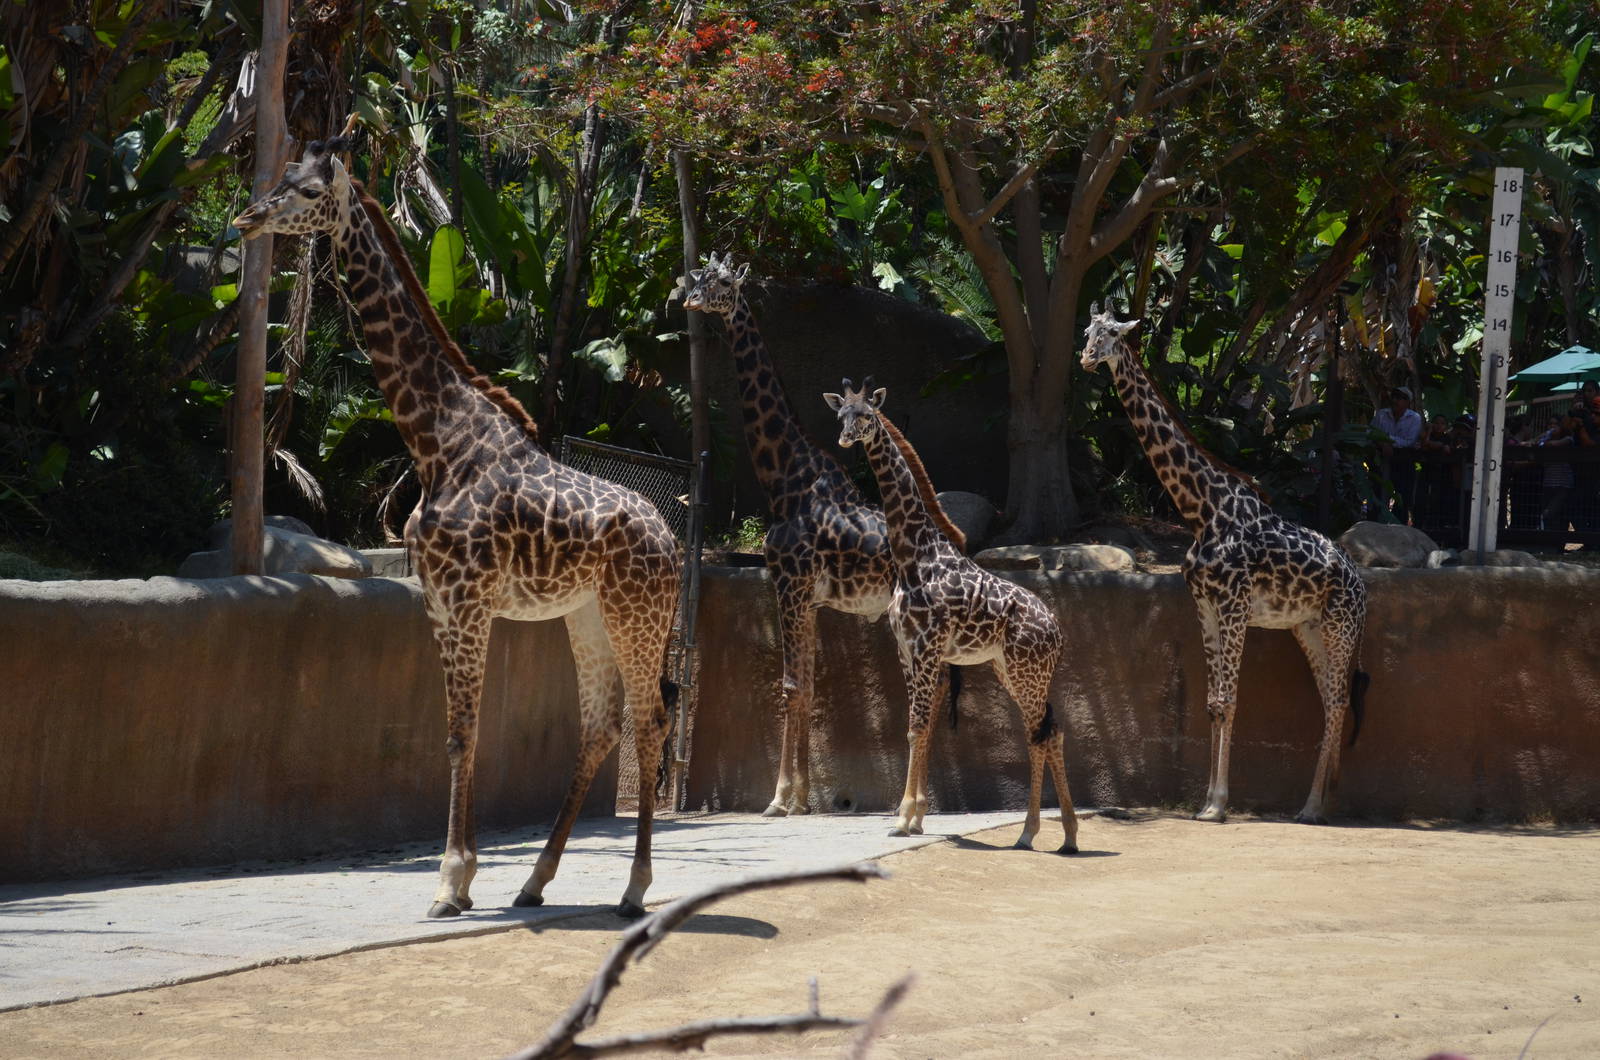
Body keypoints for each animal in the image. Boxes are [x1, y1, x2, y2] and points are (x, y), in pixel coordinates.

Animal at [232, 140, 680, 919]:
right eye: (282, 175)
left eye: (309, 191)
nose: (248, 217)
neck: (434, 440)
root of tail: (675, 539)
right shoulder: (441, 603)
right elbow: (458, 735)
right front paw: (468, 880)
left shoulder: (469, 600)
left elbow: (462, 732)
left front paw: (449, 881)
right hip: (587, 613)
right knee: (601, 725)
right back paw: (535, 880)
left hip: (637, 614)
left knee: (648, 720)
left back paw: (633, 889)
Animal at [679, 253, 962, 817]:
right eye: (699, 276)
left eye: (722, 282)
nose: (689, 299)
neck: (785, 476)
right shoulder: (807, 598)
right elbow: (807, 687)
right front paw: (802, 798)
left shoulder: (788, 584)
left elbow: (790, 686)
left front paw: (778, 798)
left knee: (936, 683)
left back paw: (917, 803)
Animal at [825, 379, 1078, 852]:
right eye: (841, 414)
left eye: (866, 414)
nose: (846, 439)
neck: (913, 555)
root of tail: (1057, 630)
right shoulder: (906, 651)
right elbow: (917, 729)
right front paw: (910, 817)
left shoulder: (926, 649)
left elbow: (916, 727)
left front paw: (903, 818)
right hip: (1007, 669)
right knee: (1046, 732)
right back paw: (1059, 835)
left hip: (1027, 672)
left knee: (1042, 733)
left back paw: (1034, 832)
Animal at [1079, 305, 1370, 824]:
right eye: (1088, 331)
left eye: (1111, 334)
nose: (1087, 359)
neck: (1201, 510)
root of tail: (1361, 582)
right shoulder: (1205, 605)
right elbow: (1213, 703)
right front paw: (1206, 801)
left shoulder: (1235, 605)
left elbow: (1230, 700)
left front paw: (1218, 804)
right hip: (1308, 628)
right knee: (1328, 702)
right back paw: (1320, 801)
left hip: (1341, 627)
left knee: (1338, 702)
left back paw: (1313, 807)